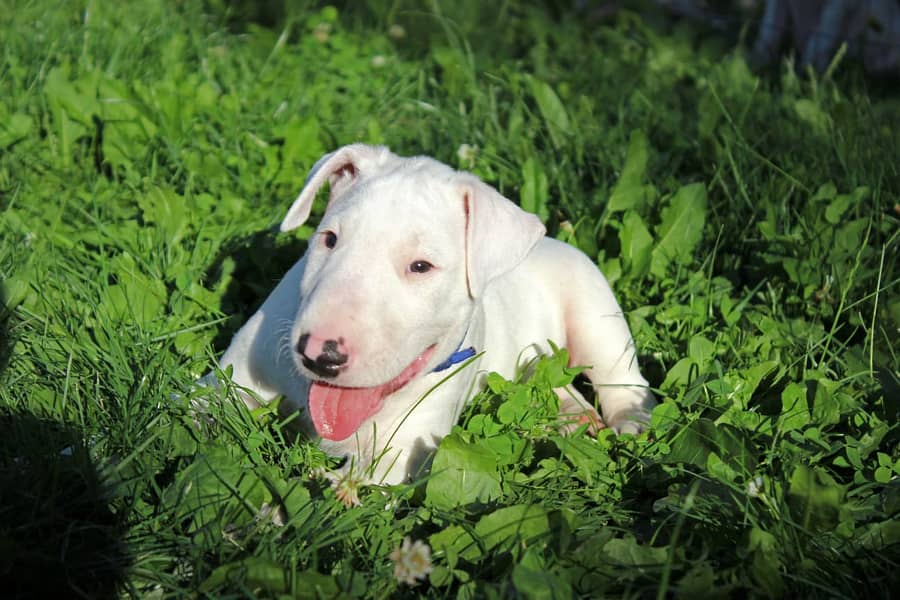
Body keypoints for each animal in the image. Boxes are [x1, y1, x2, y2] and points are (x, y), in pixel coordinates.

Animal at [204, 144, 652, 482]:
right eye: (329, 239)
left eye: (421, 266)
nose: (319, 355)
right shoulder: (228, 383)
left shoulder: (403, 454)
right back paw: (572, 419)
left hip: (595, 312)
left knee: (624, 378)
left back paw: (630, 423)